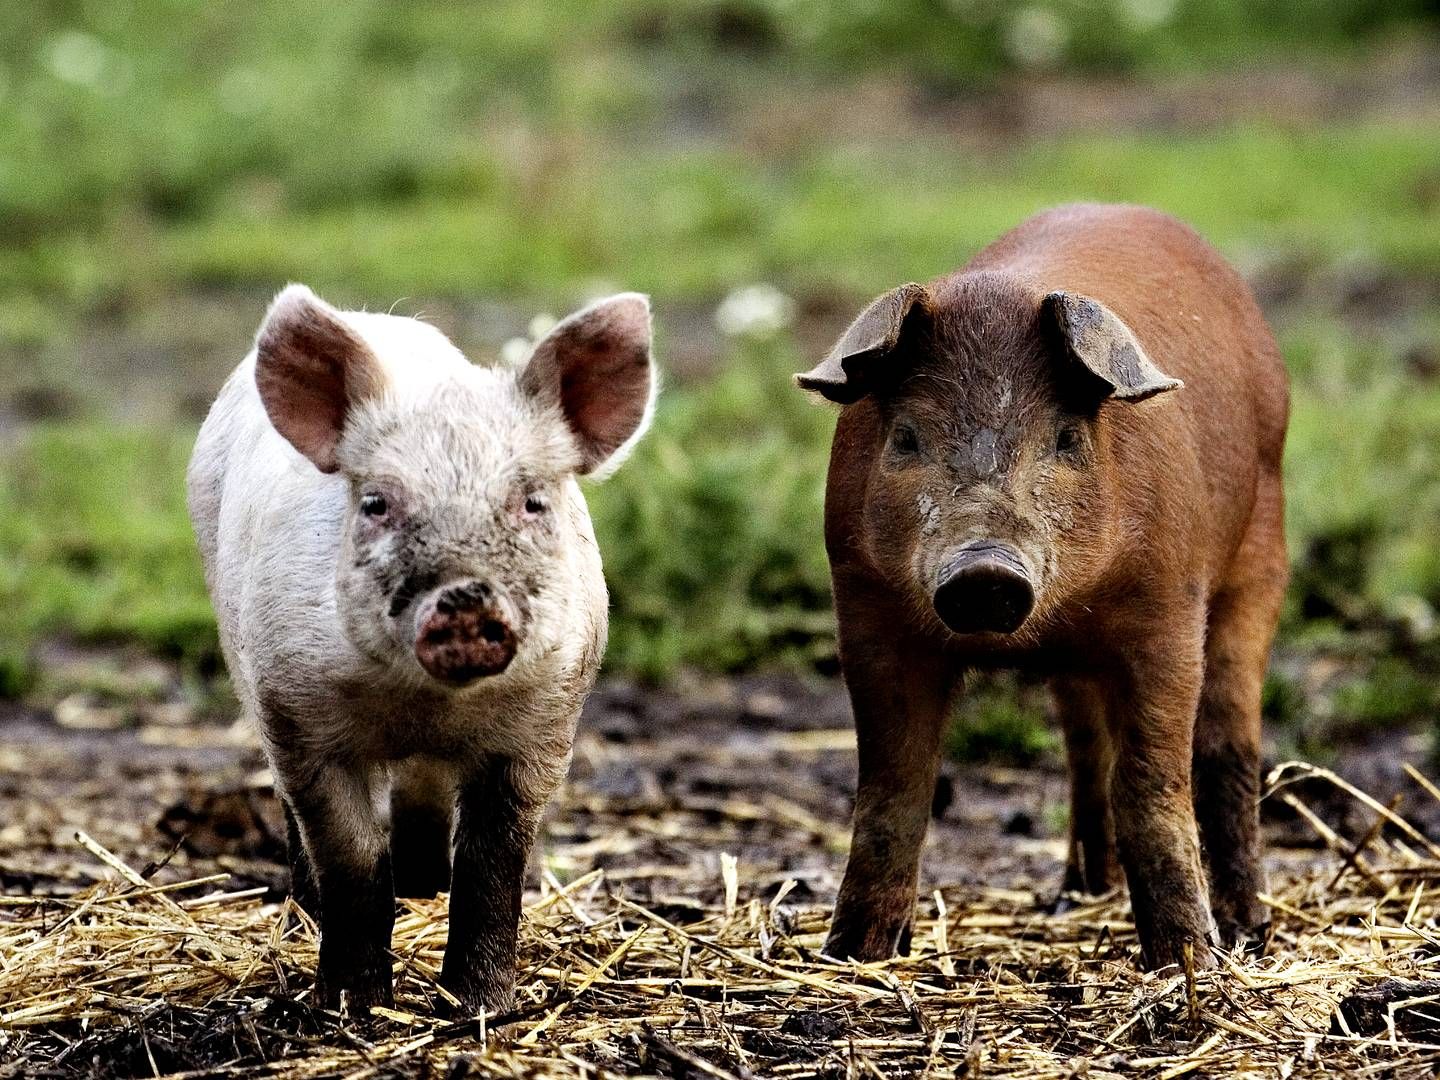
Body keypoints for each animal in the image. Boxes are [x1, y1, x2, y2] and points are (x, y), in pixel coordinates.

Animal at [184, 285, 653, 1013]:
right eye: (376, 503)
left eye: (532, 502)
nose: (464, 598)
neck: (425, 704)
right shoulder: (296, 714)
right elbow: (351, 859)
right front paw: (352, 1006)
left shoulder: (545, 723)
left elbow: (494, 862)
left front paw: (479, 1006)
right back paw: (312, 910)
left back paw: (424, 884)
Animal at [800, 203, 1296, 973]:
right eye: (906, 437)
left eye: (1065, 438)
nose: (985, 571)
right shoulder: (865, 611)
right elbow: (894, 789)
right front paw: (852, 956)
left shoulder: (1168, 611)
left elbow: (1152, 785)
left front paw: (1187, 962)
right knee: (1085, 747)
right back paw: (1077, 895)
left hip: (1261, 551)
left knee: (1228, 746)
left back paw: (1247, 931)